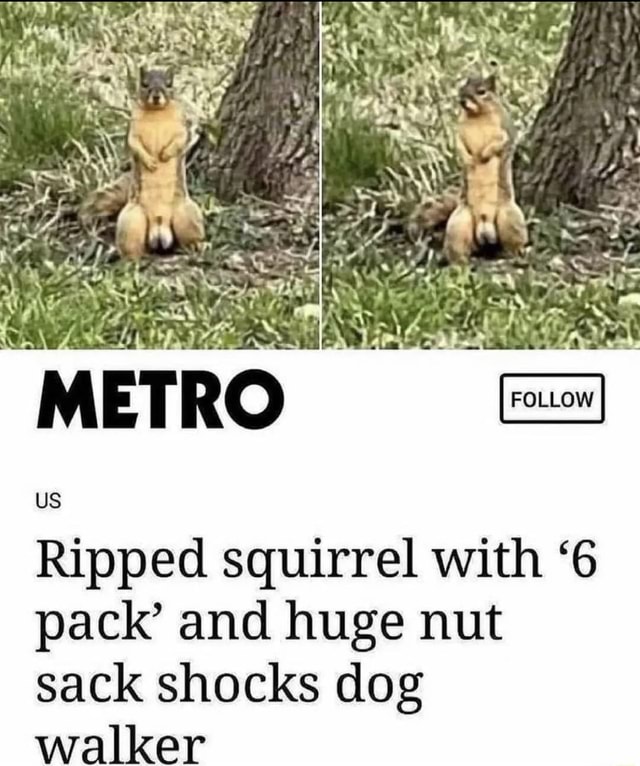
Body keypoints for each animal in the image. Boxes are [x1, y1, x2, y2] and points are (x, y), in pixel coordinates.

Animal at [82, 66, 204, 260]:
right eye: (144, 83)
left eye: (169, 83)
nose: (156, 96)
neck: (157, 113)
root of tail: (160, 226)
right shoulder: (132, 130)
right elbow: (135, 145)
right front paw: (150, 161)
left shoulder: (182, 127)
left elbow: (181, 139)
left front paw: (165, 155)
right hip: (131, 221)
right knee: (131, 245)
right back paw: (132, 258)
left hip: (187, 214)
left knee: (192, 234)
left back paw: (196, 245)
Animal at [409, 71, 528, 265]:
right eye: (462, 87)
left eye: (482, 91)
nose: (462, 100)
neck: (477, 115)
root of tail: (485, 228)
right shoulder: (459, 131)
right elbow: (458, 145)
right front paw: (469, 159)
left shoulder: (504, 131)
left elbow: (500, 142)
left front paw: (483, 155)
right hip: (458, 225)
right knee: (458, 248)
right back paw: (459, 262)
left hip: (510, 218)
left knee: (514, 242)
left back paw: (514, 254)